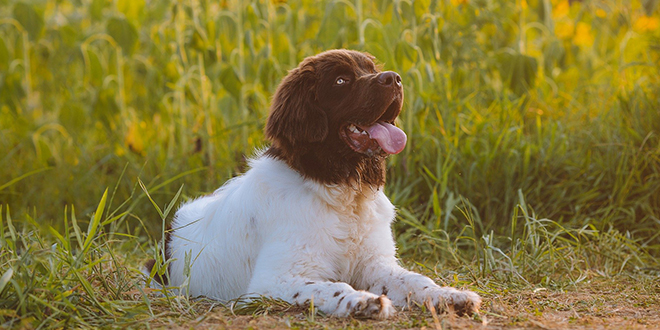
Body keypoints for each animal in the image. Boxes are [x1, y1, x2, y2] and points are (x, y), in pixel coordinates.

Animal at [146, 49, 480, 320]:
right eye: (341, 81)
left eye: (371, 68)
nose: (395, 79)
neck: (344, 192)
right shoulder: (272, 281)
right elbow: (333, 287)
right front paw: (363, 302)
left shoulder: (376, 264)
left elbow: (415, 280)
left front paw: (450, 295)